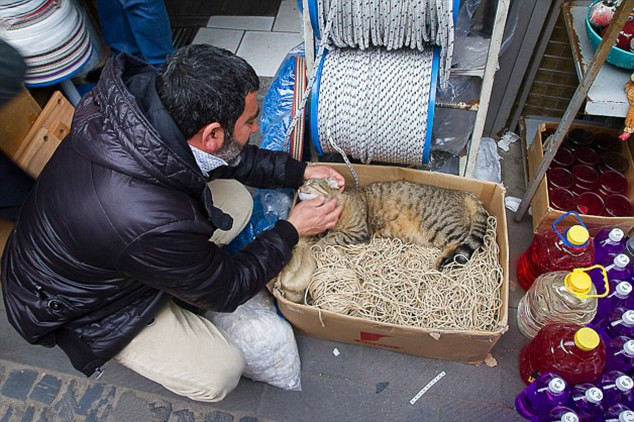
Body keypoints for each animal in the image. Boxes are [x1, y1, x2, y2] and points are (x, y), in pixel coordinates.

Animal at [276, 178, 488, 304]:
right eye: (304, 183)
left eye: (311, 183)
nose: (300, 187)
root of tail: (463, 193)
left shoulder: (358, 232)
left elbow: (332, 237)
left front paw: (317, 244)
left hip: (442, 227)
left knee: (464, 246)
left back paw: (441, 262)